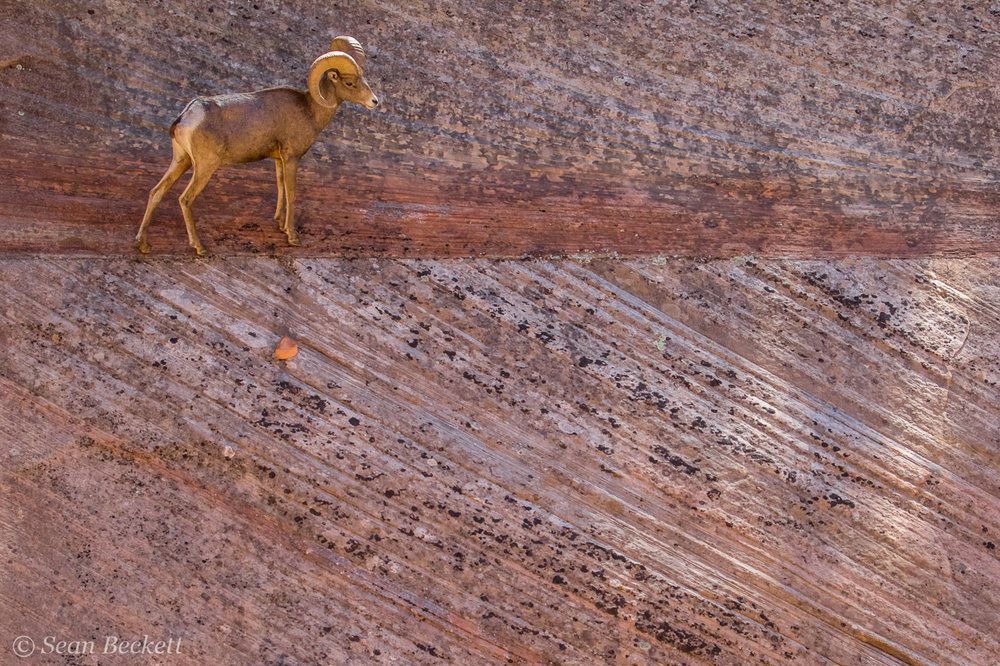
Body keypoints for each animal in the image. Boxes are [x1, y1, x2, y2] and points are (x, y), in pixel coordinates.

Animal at [135, 36, 376, 254]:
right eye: (350, 83)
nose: (374, 101)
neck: (309, 110)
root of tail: (188, 115)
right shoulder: (291, 158)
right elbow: (291, 192)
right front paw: (292, 237)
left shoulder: (278, 159)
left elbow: (280, 187)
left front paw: (280, 225)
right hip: (205, 166)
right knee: (185, 199)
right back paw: (199, 247)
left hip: (181, 160)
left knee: (156, 192)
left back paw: (143, 245)